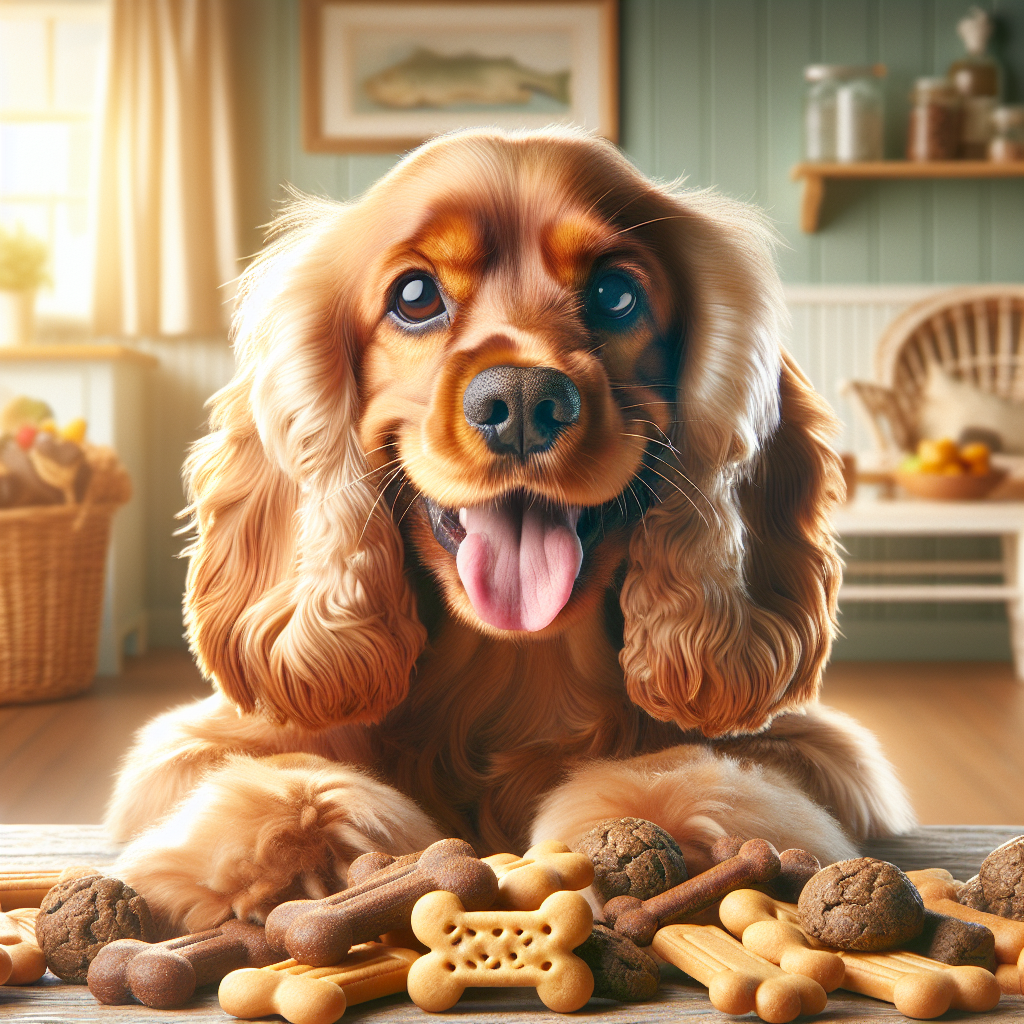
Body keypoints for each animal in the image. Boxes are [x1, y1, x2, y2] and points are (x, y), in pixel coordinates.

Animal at [108, 125, 917, 929]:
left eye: (616, 294)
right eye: (414, 296)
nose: (524, 401)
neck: (515, 670)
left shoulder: (819, 750)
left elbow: (699, 766)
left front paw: (651, 832)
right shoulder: (199, 741)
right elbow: (273, 769)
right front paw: (279, 853)